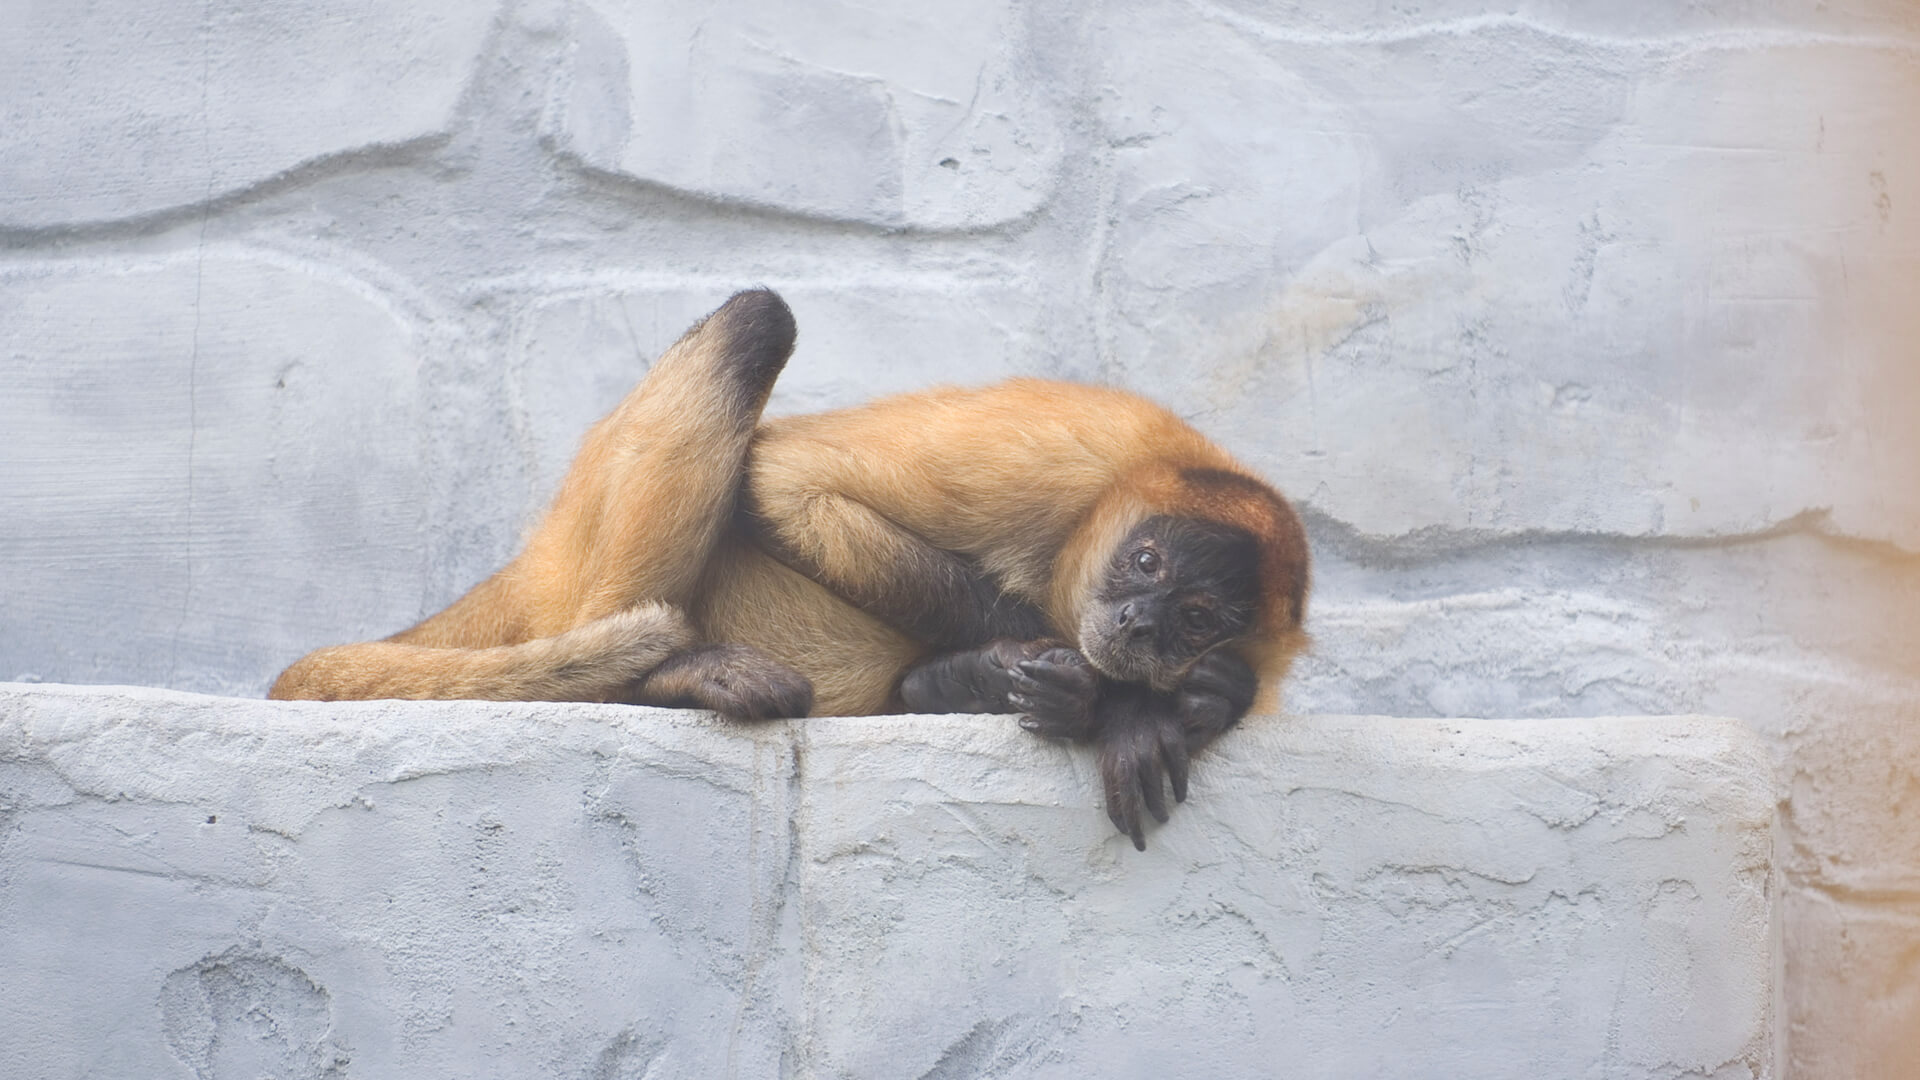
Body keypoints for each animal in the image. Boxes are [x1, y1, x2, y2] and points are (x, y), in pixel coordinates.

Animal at [274, 290, 1305, 845]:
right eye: (1143, 563)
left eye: (1197, 615)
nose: (1136, 625)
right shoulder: (1067, 451)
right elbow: (781, 485)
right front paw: (1112, 696)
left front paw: (1159, 695)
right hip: (580, 563)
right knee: (755, 323)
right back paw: (662, 679)